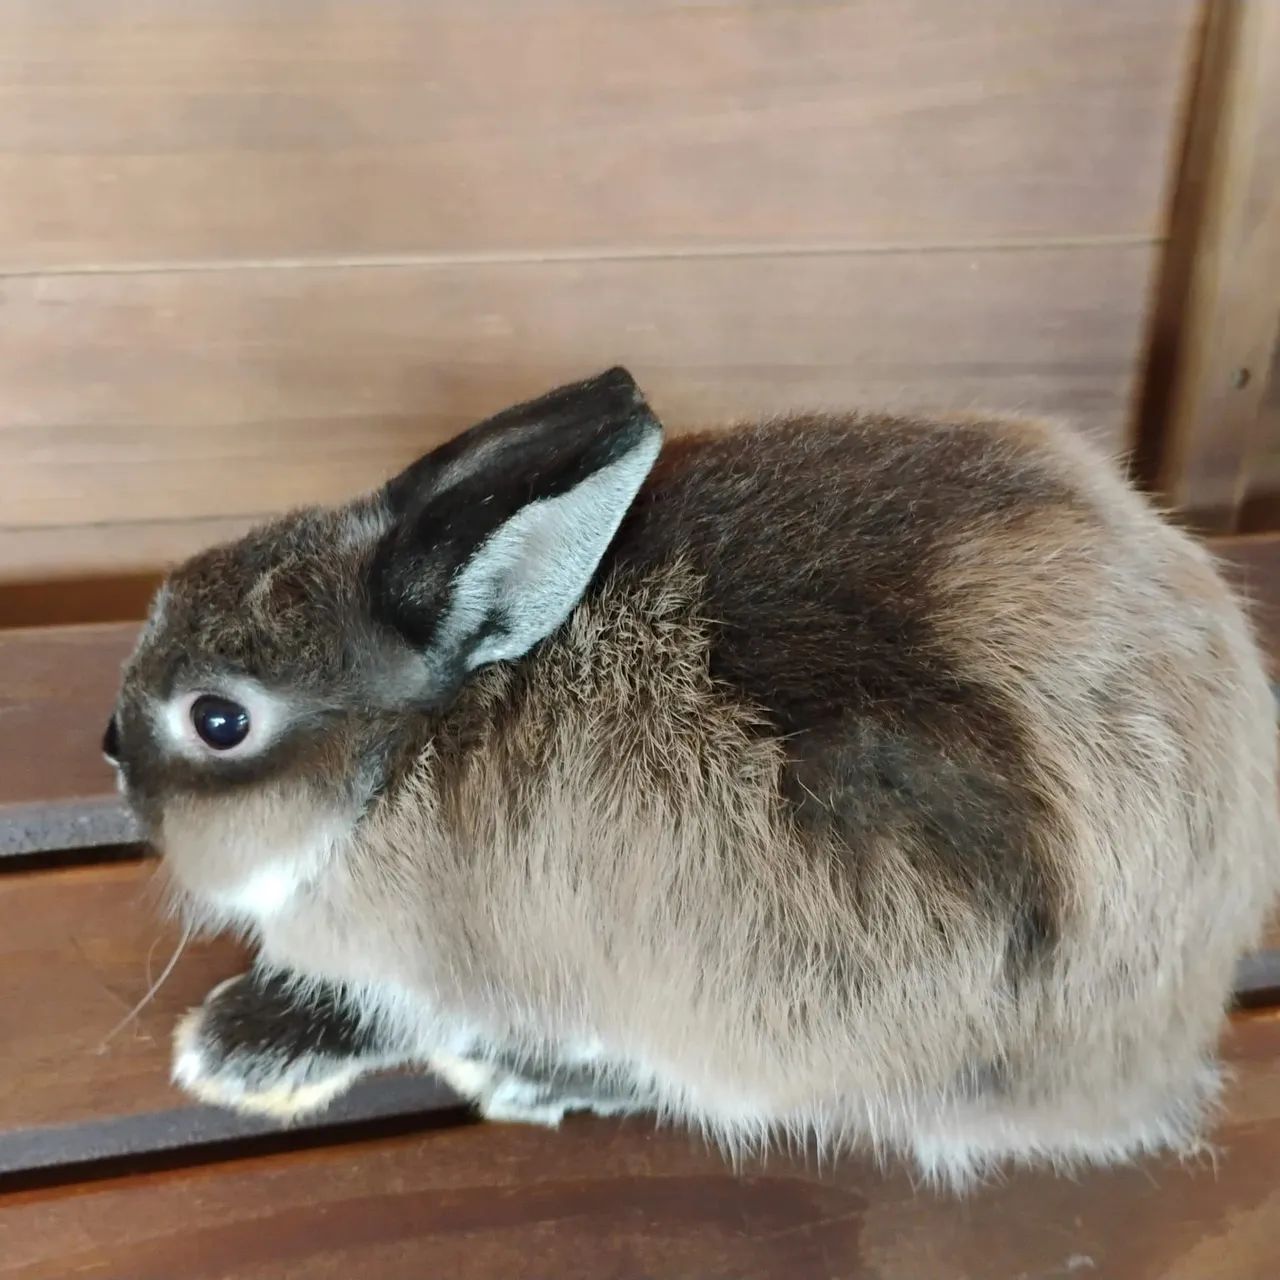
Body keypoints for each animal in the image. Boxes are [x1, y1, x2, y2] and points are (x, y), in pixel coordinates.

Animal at [103, 366, 1279, 1188]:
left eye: (218, 720)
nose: (111, 746)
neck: (406, 756)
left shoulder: (460, 964)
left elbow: (386, 1009)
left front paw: (235, 1050)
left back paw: (522, 1077)